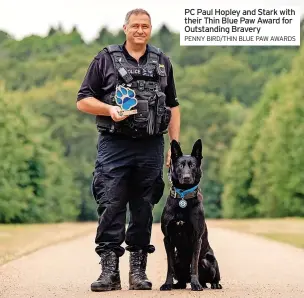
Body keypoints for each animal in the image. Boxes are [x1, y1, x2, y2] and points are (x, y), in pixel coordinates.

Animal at [160, 140, 222, 292]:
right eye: (180, 165)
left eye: (192, 165)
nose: (186, 178)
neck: (183, 197)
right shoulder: (167, 239)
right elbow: (169, 266)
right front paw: (167, 284)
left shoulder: (196, 239)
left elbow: (193, 265)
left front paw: (195, 285)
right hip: (178, 258)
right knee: (182, 279)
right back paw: (178, 285)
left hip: (209, 260)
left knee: (211, 277)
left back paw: (211, 284)